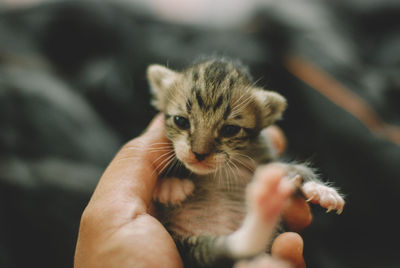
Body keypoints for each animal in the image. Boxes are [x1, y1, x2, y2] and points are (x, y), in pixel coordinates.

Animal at [146, 58, 344, 268]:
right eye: (181, 121)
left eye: (230, 129)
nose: (199, 154)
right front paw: (171, 183)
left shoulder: (265, 161)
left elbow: (295, 168)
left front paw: (321, 189)